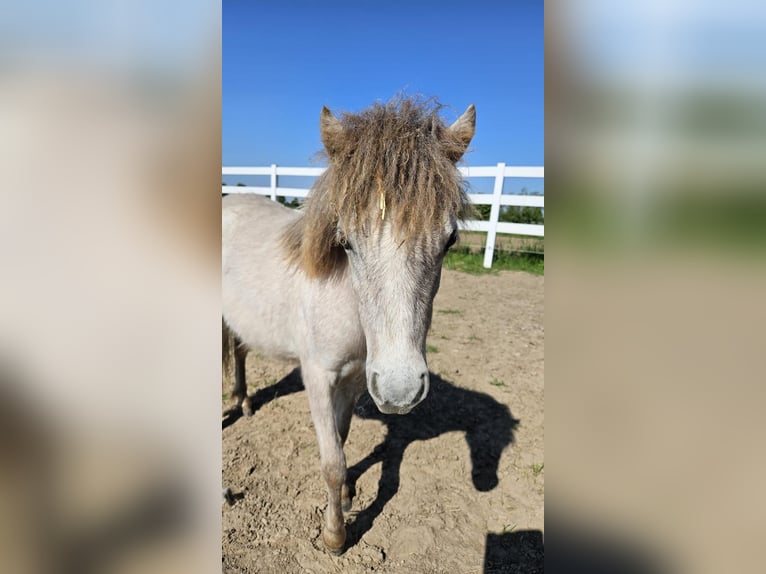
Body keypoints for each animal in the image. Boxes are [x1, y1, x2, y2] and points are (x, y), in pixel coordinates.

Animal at [222, 97, 476, 553]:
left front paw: (343, 500)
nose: (400, 390)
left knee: (239, 350)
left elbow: (342, 438)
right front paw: (335, 535)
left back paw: (244, 402)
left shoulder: (356, 378)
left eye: (449, 241)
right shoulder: (318, 378)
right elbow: (332, 461)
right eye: (345, 241)